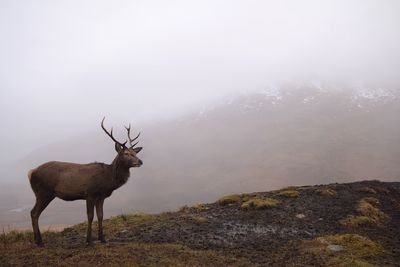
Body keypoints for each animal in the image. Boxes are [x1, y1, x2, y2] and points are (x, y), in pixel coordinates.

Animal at [27, 118, 142, 247]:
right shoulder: (90, 194)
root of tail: (31, 172)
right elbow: (90, 216)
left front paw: (102, 238)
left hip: (43, 194)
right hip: (44, 193)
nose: (140, 161)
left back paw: (37, 240)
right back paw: (39, 241)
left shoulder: (101, 197)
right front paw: (89, 240)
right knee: (34, 213)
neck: (107, 180)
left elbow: (101, 216)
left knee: (33, 213)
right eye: (126, 153)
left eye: (135, 153)